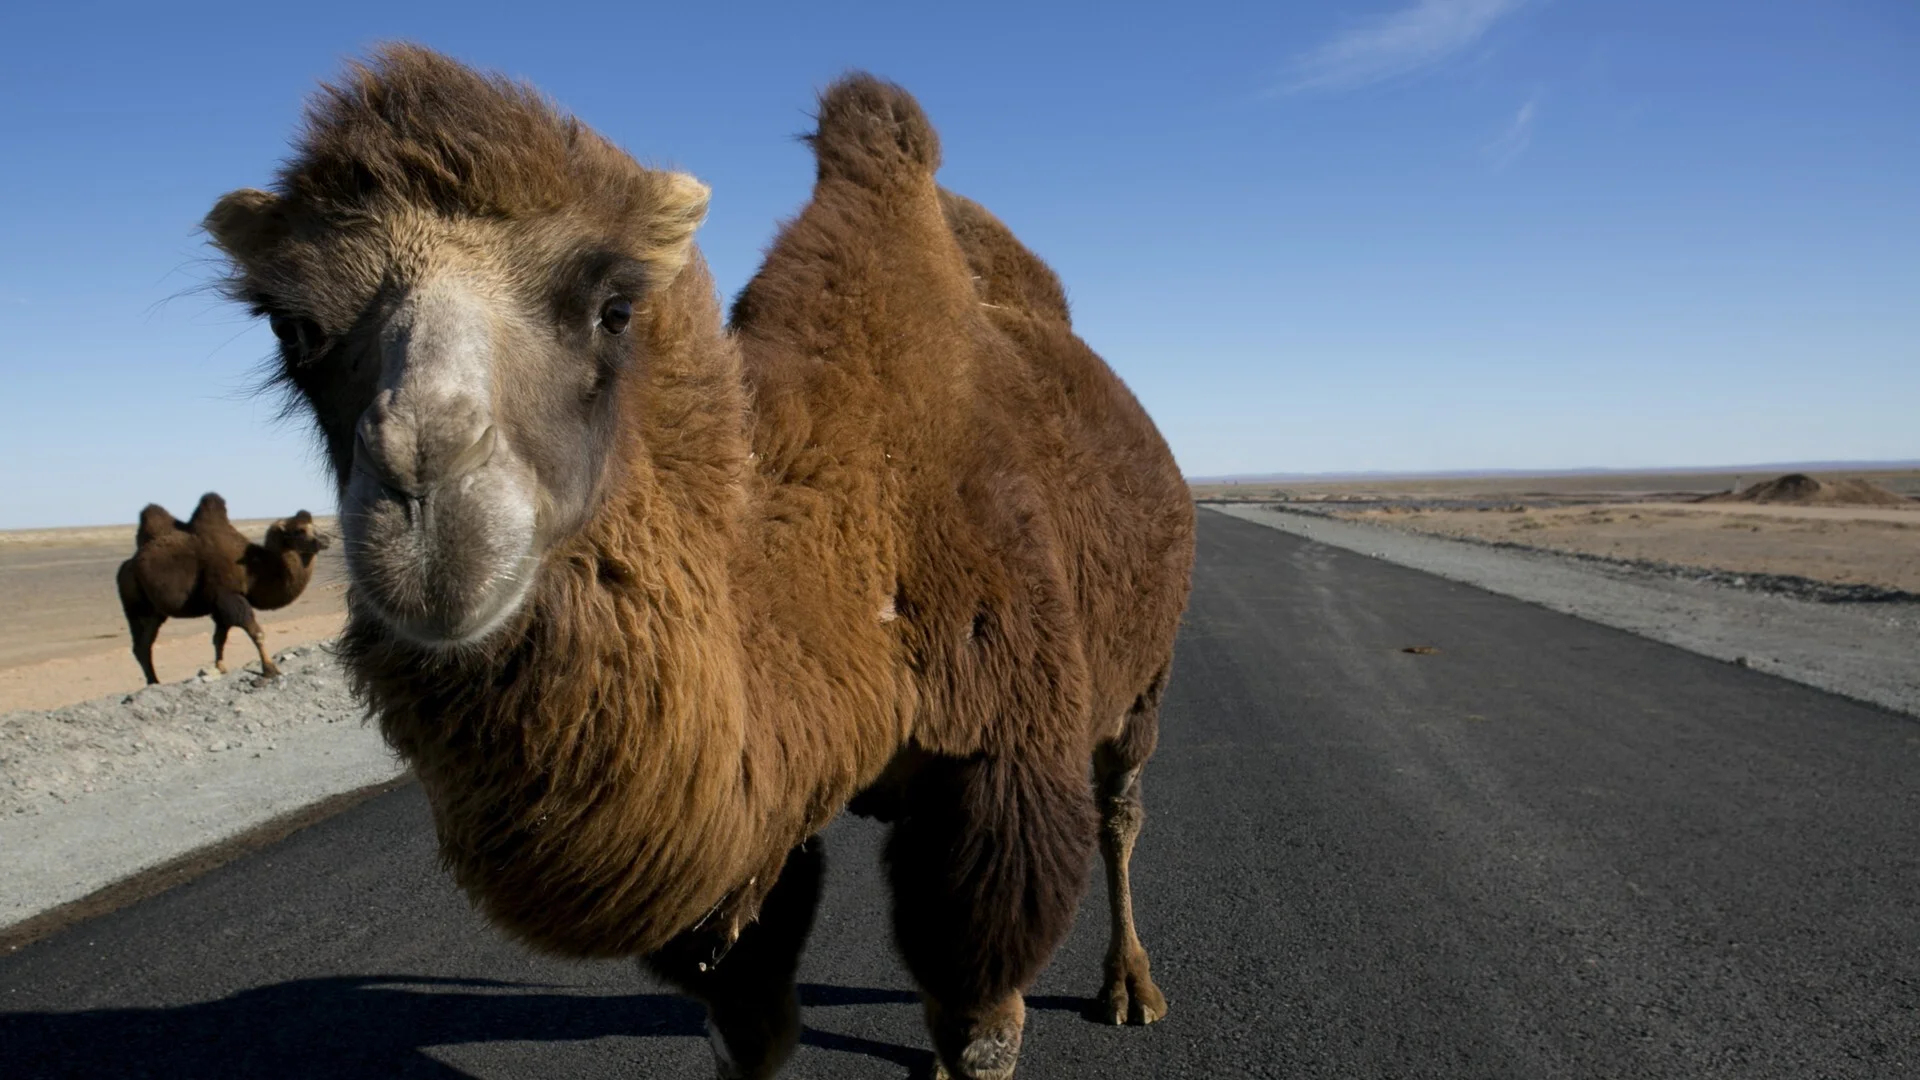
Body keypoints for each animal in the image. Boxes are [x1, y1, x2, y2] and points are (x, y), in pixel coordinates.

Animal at [113, 490, 330, 680]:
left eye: (314, 525)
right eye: (299, 530)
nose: (326, 539)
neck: (254, 568)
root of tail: (126, 567)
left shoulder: (218, 606)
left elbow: (219, 639)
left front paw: (221, 668)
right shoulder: (229, 595)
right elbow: (256, 632)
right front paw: (270, 669)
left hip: (154, 613)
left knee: (144, 645)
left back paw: (153, 680)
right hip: (136, 605)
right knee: (140, 645)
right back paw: (153, 681)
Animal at [214, 48, 1198, 1076]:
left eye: (613, 308)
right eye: (291, 327)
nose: (428, 501)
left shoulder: (1003, 764)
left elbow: (984, 1026)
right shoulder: (755, 843)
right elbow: (748, 1025)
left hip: (1146, 671)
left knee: (1121, 808)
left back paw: (1130, 987)